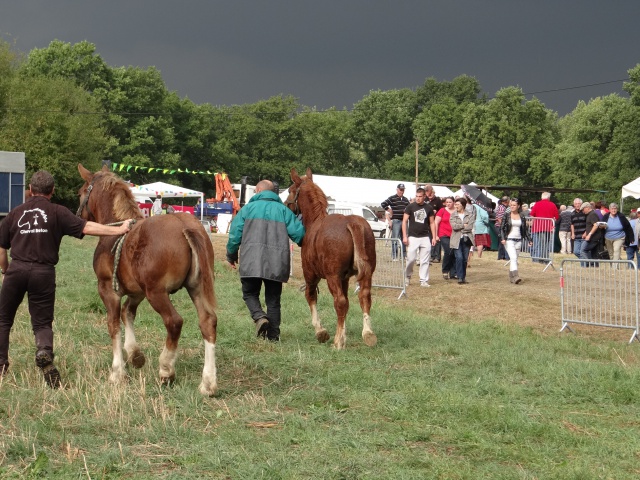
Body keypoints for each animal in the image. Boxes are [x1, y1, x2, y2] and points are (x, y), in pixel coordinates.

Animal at [75, 163, 218, 396]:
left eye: (81, 193)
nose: (78, 216)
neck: (114, 232)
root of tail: (183, 224)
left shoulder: (107, 290)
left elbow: (113, 324)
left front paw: (117, 372)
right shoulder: (136, 292)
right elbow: (127, 313)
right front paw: (135, 355)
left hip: (157, 293)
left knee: (174, 322)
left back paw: (166, 369)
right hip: (195, 287)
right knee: (208, 322)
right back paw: (208, 383)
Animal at [284, 169, 376, 348]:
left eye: (291, 189)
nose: (285, 204)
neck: (315, 221)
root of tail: (352, 222)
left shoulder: (311, 275)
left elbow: (311, 296)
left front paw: (321, 332)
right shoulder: (344, 279)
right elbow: (347, 304)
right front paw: (344, 334)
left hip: (331, 276)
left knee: (339, 301)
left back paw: (337, 342)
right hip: (366, 274)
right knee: (364, 297)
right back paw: (368, 333)